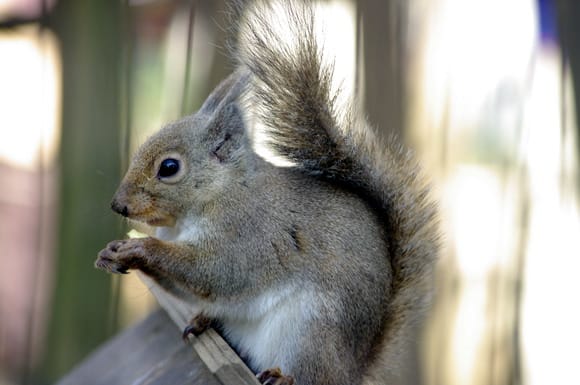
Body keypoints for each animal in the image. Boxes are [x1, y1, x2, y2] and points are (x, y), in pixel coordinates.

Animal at [95, 1, 440, 382]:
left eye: (169, 167)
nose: (118, 205)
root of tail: (353, 368)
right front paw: (111, 253)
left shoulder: (249, 233)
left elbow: (216, 271)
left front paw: (140, 248)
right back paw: (203, 321)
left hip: (312, 329)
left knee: (314, 374)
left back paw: (282, 376)